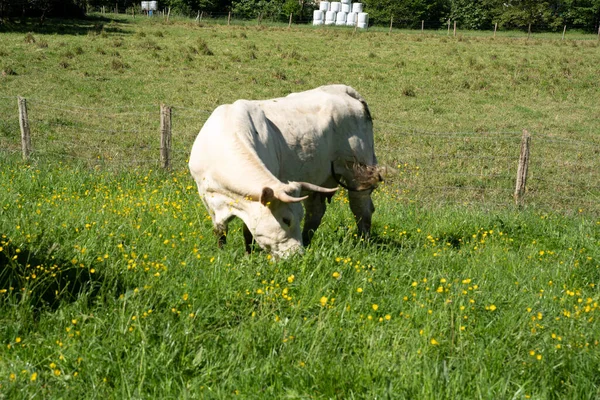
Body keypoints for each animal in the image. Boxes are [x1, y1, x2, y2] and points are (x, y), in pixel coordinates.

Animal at [190, 85, 382, 260]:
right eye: (286, 220)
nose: (297, 255)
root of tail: (344, 90)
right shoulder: (207, 197)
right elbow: (220, 231)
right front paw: (221, 254)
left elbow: (248, 231)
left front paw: (248, 256)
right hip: (318, 179)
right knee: (316, 212)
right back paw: (308, 240)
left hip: (358, 173)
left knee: (361, 208)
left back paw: (364, 242)